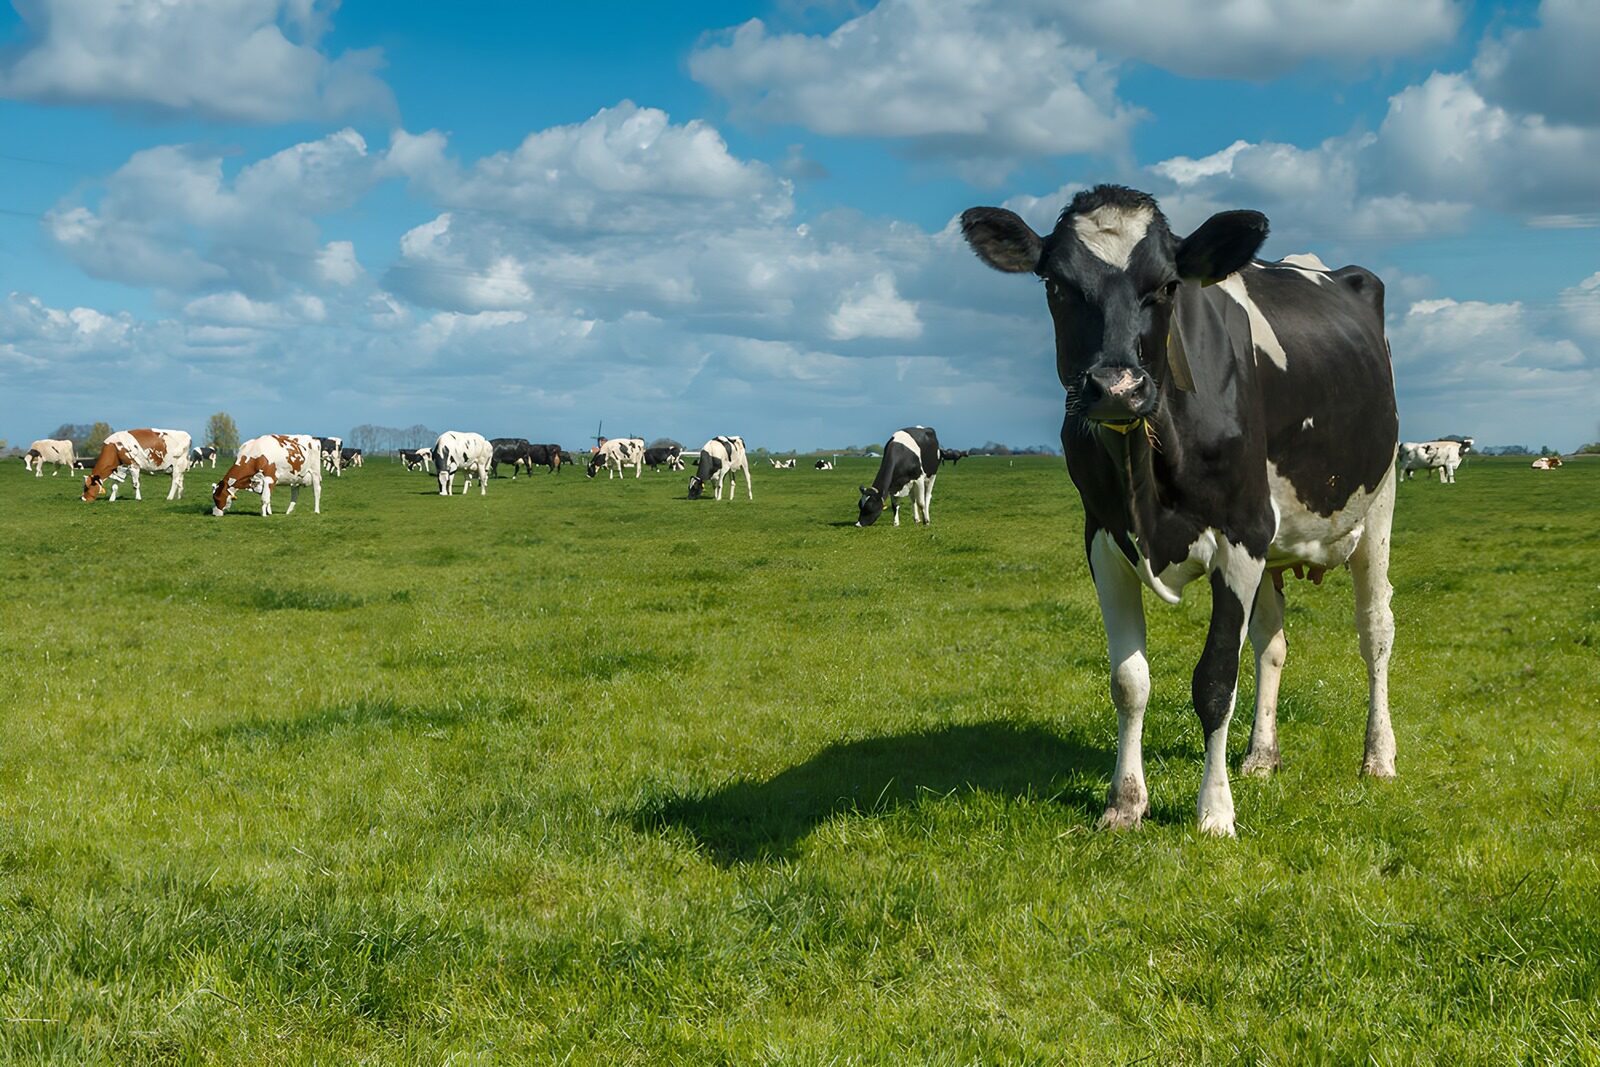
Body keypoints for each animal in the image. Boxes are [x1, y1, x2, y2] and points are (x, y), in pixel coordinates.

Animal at [961, 183, 1399, 837]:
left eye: (1168, 285)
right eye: (1056, 284)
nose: (1116, 388)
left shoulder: (1241, 534)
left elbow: (1215, 680)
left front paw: (1214, 812)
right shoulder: (1103, 539)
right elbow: (1129, 681)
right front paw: (1124, 803)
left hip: (1379, 503)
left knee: (1375, 633)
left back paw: (1378, 757)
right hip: (1276, 542)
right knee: (1272, 641)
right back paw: (1261, 756)